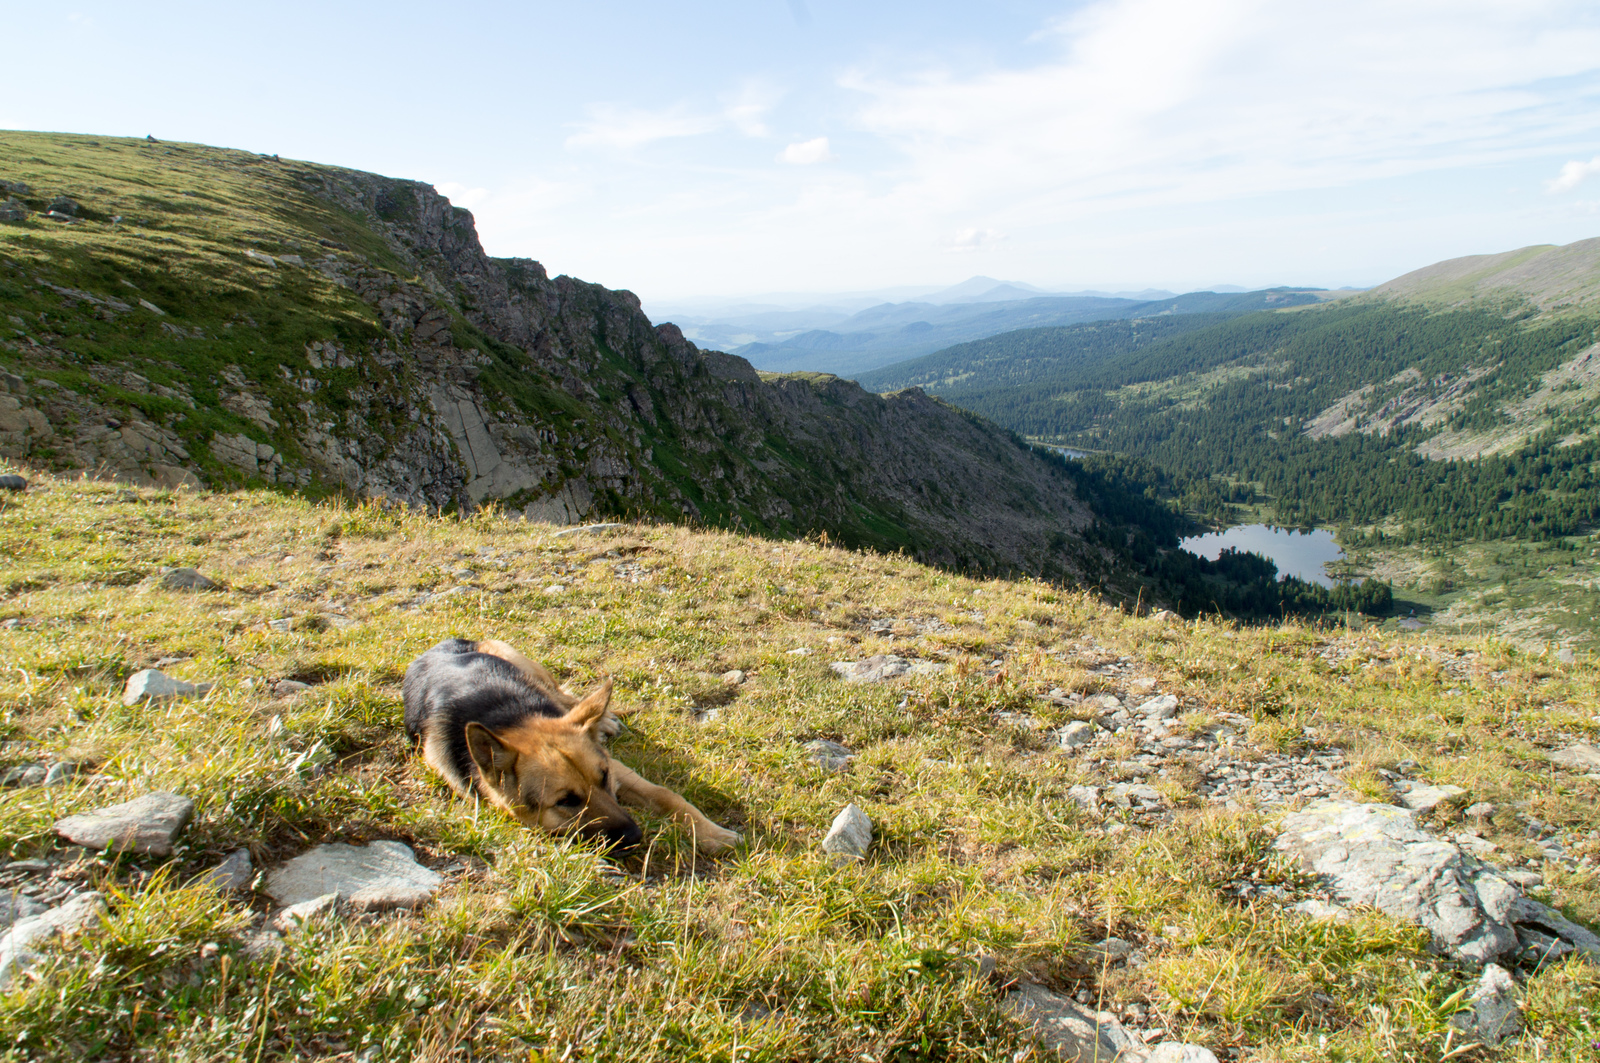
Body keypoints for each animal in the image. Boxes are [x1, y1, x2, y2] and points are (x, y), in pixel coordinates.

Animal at [406, 640, 742, 858]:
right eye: (566, 801)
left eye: (603, 778)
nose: (635, 836)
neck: (507, 719)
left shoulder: (616, 768)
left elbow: (667, 795)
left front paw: (712, 833)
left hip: (522, 664)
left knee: (567, 697)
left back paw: (603, 719)